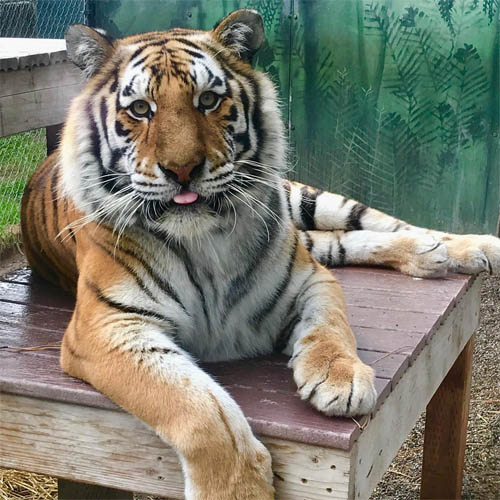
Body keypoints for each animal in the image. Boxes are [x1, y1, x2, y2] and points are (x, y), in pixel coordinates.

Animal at [20, 8, 500, 500]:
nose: (182, 170)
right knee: (345, 241)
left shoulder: (310, 279)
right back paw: (432, 254)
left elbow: (331, 325)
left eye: (209, 100)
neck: (206, 240)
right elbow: (198, 407)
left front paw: (341, 376)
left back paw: (469, 246)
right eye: (139, 109)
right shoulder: (108, 328)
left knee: (377, 222)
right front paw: (236, 489)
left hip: (304, 201)